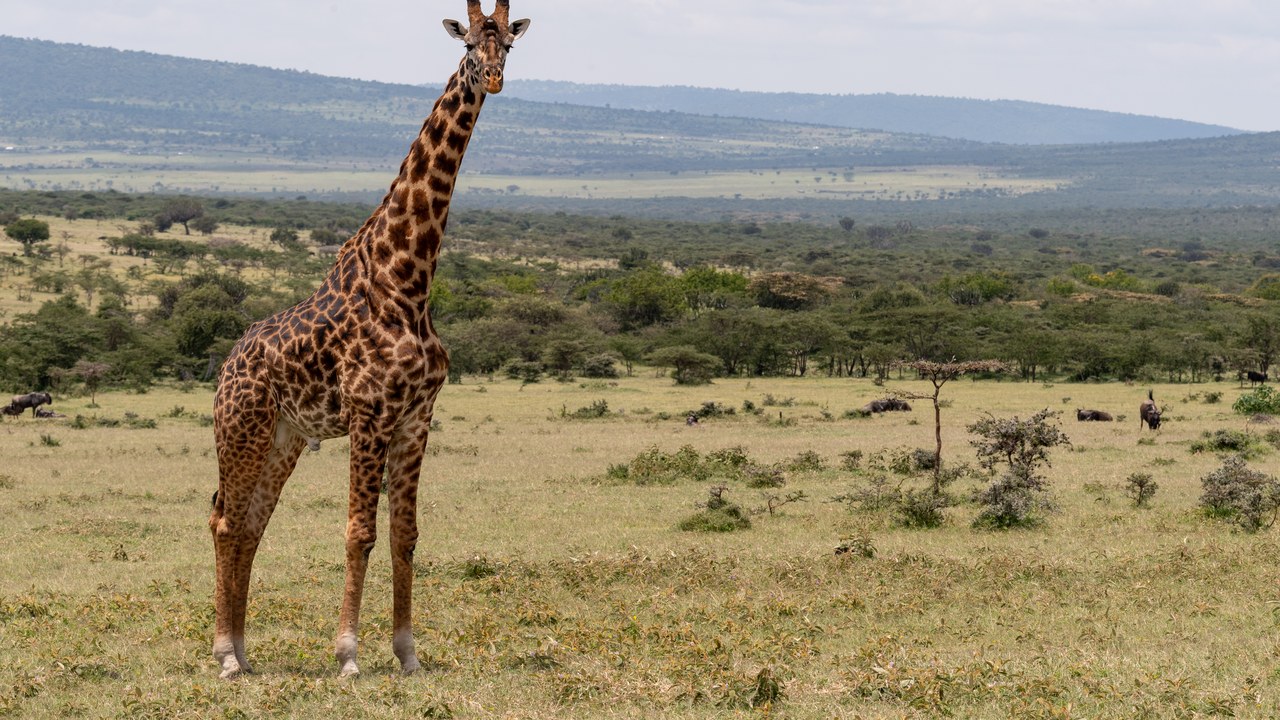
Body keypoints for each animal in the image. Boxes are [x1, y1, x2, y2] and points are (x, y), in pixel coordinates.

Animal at [209, 1, 529, 679]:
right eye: (469, 47)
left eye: (509, 47)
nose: (491, 79)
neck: (408, 278)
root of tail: (226, 365)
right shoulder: (369, 412)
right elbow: (360, 531)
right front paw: (349, 655)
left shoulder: (415, 417)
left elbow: (405, 534)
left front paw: (407, 653)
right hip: (241, 428)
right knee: (224, 520)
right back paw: (223, 653)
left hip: (284, 437)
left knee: (250, 525)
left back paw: (244, 650)